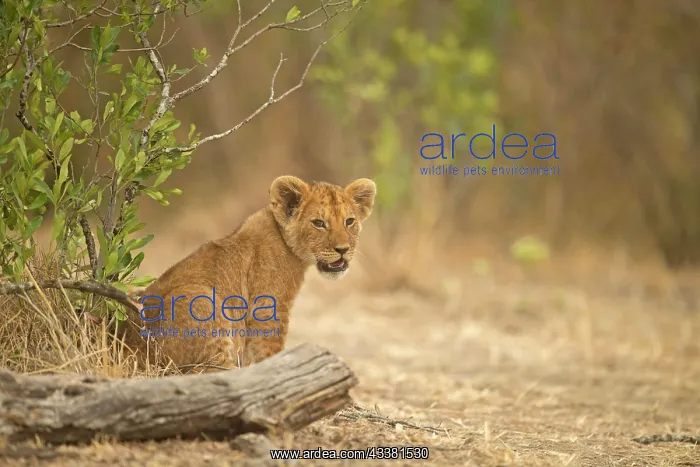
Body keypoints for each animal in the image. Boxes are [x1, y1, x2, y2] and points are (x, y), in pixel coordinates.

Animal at [118, 175, 376, 371]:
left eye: (349, 221)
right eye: (319, 223)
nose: (343, 250)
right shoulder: (269, 309)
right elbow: (268, 351)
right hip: (202, 300)